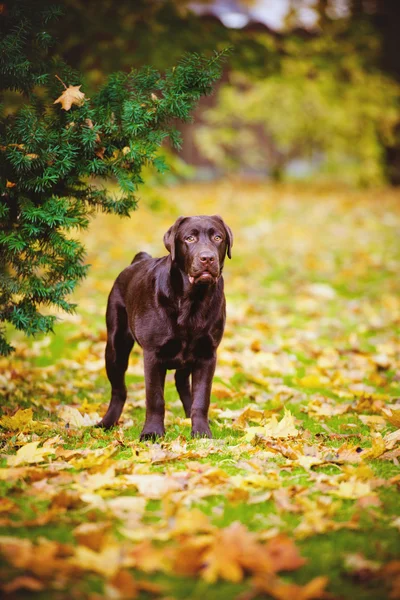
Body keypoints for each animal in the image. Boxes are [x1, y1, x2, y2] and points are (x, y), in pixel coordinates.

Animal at [98, 216, 233, 440]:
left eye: (217, 237)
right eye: (189, 238)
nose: (207, 258)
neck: (191, 301)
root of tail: (138, 261)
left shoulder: (207, 354)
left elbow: (202, 398)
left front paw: (201, 431)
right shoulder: (153, 354)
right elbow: (155, 398)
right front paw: (152, 432)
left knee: (181, 382)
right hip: (116, 347)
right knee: (119, 390)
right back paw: (106, 422)